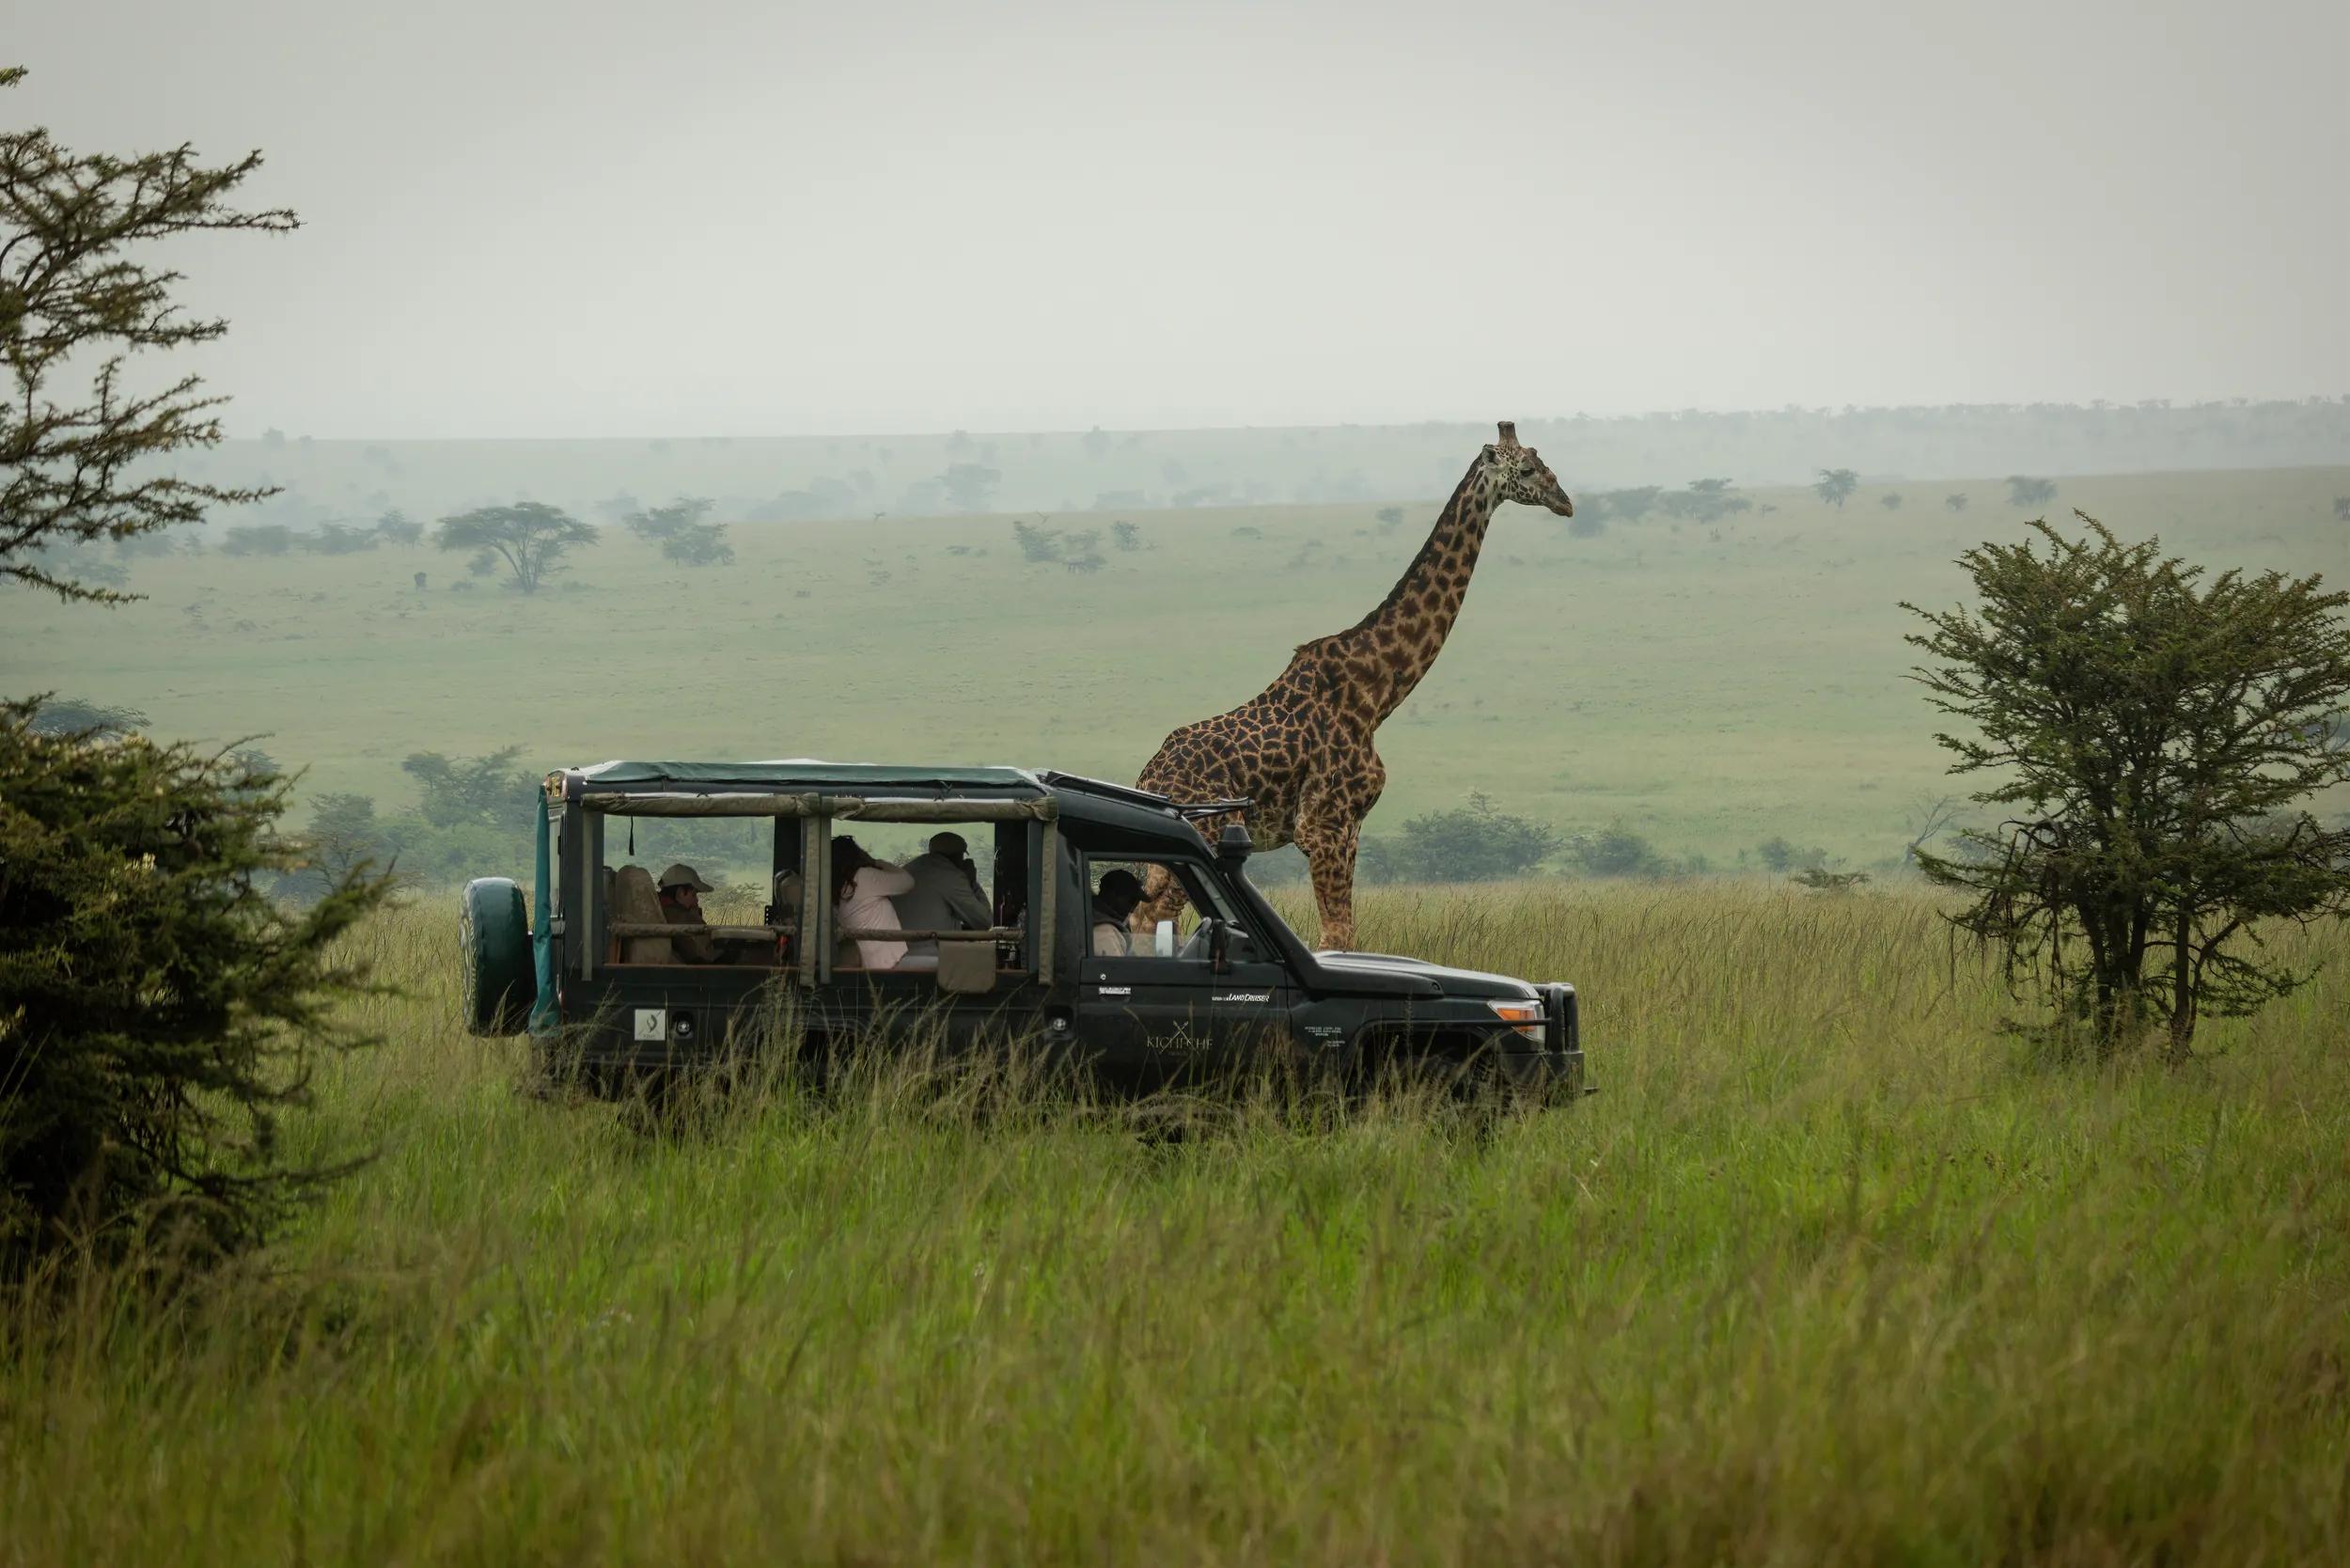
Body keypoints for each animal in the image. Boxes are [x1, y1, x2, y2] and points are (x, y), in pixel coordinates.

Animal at [1134, 421, 1573, 950]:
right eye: (1525, 469)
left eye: (1542, 459)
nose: (1566, 502)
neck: (1377, 693)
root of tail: (1149, 778)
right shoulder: (1323, 825)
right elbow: (1337, 935)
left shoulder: (1351, 827)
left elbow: (1344, 932)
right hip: (1210, 835)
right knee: (1148, 917)